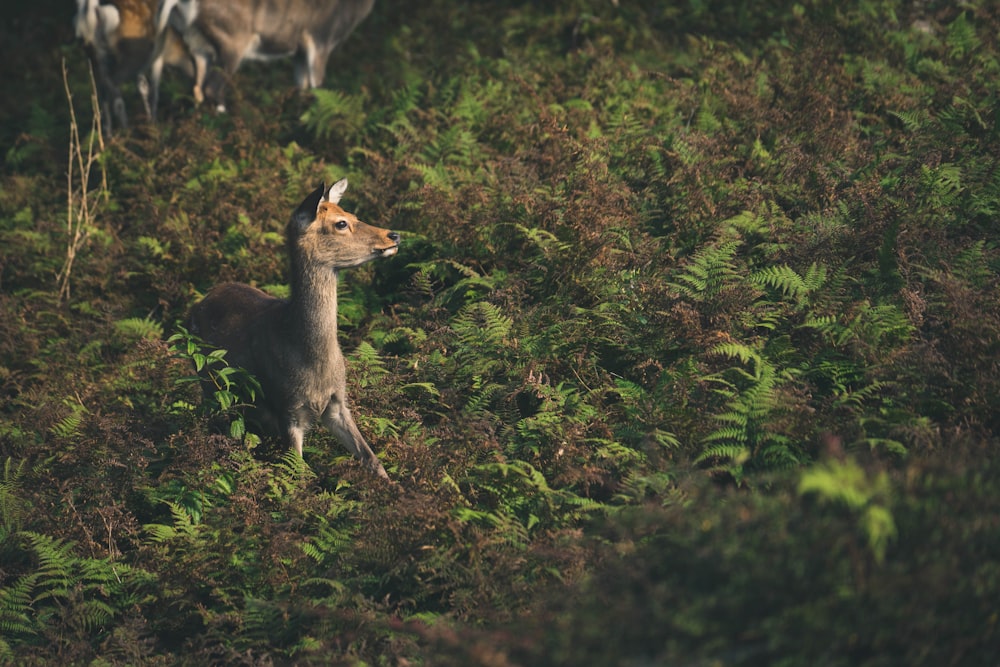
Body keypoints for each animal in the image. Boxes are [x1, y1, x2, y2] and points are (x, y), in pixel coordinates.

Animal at [74, 0, 195, 134]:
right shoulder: (157, 56)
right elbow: (154, 90)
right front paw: (154, 123)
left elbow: (143, 87)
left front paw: (149, 119)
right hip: (132, 54)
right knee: (113, 89)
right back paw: (125, 129)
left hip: (92, 55)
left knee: (101, 90)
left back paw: (108, 133)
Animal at [156, 0, 376, 111]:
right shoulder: (319, 37)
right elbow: (318, 89)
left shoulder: (299, 50)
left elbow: (302, 87)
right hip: (232, 39)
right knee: (212, 87)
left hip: (197, 43)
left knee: (197, 88)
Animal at [186, 180, 396, 478]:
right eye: (341, 223)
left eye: (353, 214)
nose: (393, 235)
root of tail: (200, 301)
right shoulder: (287, 409)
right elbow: (298, 475)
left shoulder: (337, 402)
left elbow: (371, 458)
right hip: (209, 385)